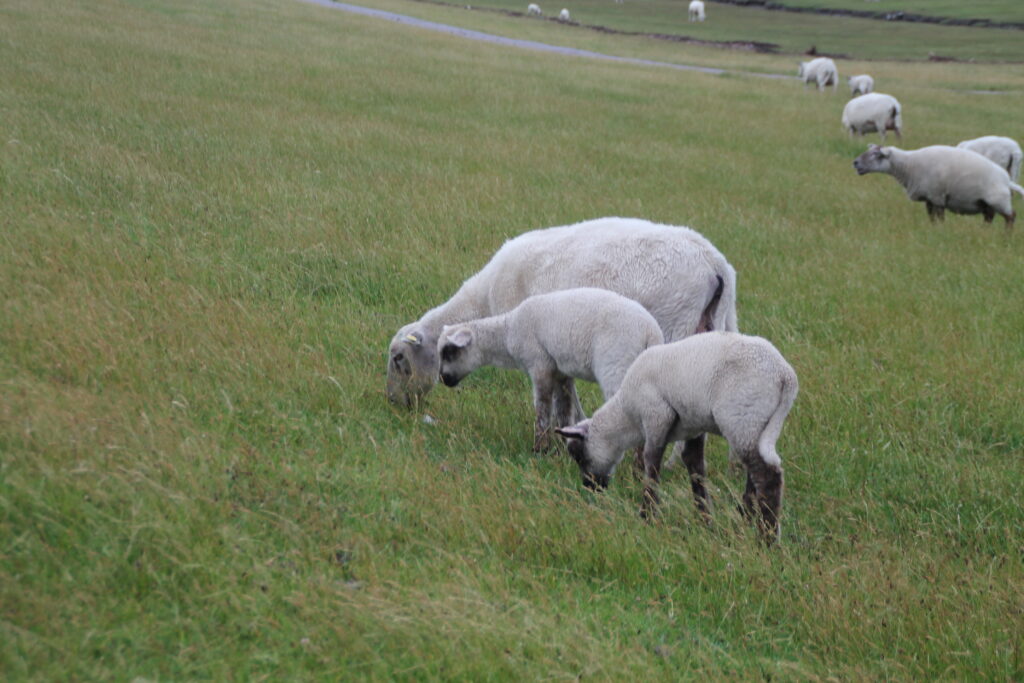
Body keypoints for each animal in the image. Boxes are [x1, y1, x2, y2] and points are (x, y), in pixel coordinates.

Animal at [437, 288, 664, 452]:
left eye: (449, 352)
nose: (444, 379)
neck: (507, 333)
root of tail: (650, 331)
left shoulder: (539, 364)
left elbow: (543, 407)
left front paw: (540, 449)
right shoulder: (560, 372)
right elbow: (564, 408)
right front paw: (564, 445)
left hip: (616, 365)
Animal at [555, 332, 798, 544]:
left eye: (578, 455)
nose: (590, 488)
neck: (627, 415)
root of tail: (785, 376)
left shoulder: (657, 415)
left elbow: (651, 463)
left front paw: (647, 515)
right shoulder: (693, 426)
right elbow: (695, 467)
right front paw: (704, 518)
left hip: (743, 418)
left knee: (767, 475)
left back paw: (766, 538)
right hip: (756, 426)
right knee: (755, 474)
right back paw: (747, 519)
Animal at [853, 144, 1024, 229]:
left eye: (876, 155)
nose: (855, 162)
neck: (909, 165)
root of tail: (1007, 180)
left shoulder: (938, 197)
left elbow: (940, 218)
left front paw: (940, 231)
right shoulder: (929, 198)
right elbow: (932, 218)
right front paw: (933, 230)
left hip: (998, 199)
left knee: (1011, 216)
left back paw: (1006, 236)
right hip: (985, 203)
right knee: (989, 217)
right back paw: (984, 231)